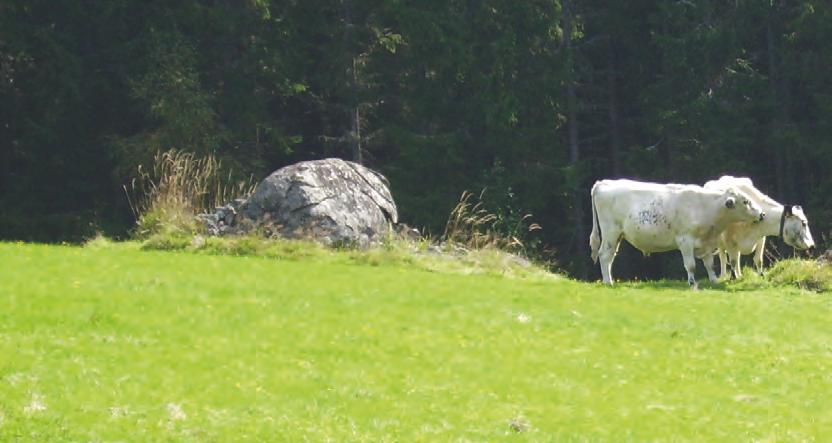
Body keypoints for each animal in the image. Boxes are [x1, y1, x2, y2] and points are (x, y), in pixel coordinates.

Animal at [588, 179, 764, 290]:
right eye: (746, 202)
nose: (762, 214)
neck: (705, 207)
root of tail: (604, 183)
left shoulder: (707, 243)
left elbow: (709, 264)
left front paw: (714, 280)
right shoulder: (685, 240)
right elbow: (691, 265)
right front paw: (692, 283)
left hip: (617, 236)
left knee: (610, 256)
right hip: (610, 232)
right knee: (604, 255)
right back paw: (608, 282)